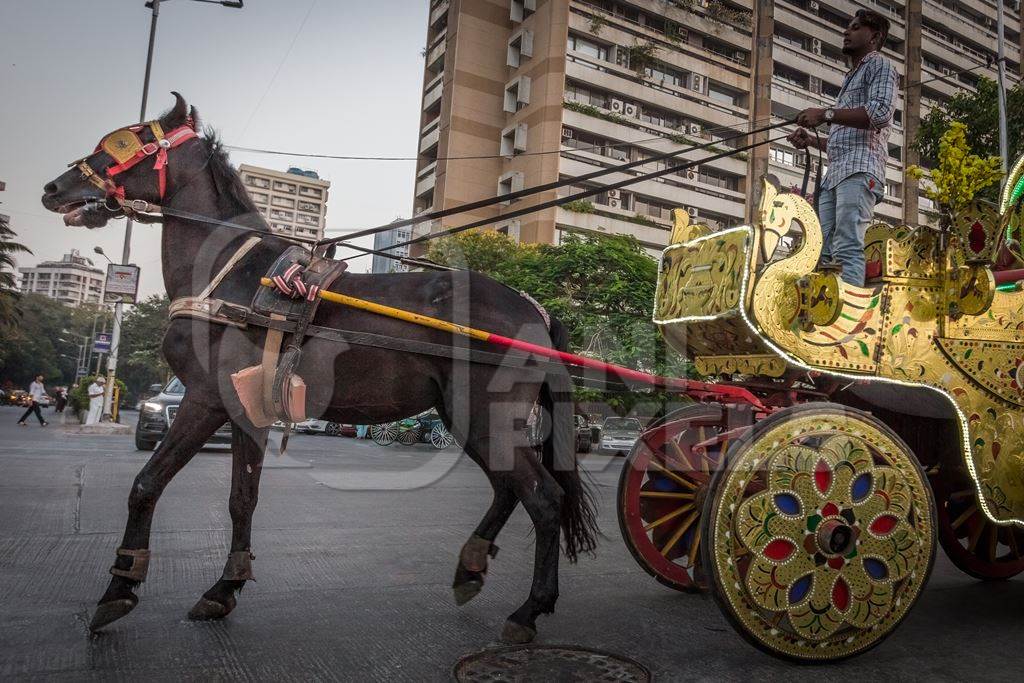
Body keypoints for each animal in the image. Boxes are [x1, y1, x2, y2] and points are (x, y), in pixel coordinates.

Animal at [41, 94, 598, 647]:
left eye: (123, 141)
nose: (54, 189)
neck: (232, 273)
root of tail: (535, 310)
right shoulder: (244, 408)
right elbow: (242, 497)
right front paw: (225, 588)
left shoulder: (205, 398)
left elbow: (147, 484)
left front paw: (119, 589)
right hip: (464, 415)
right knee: (508, 489)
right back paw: (471, 568)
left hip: (483, 412)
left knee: (543, 498)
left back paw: (529, 609)